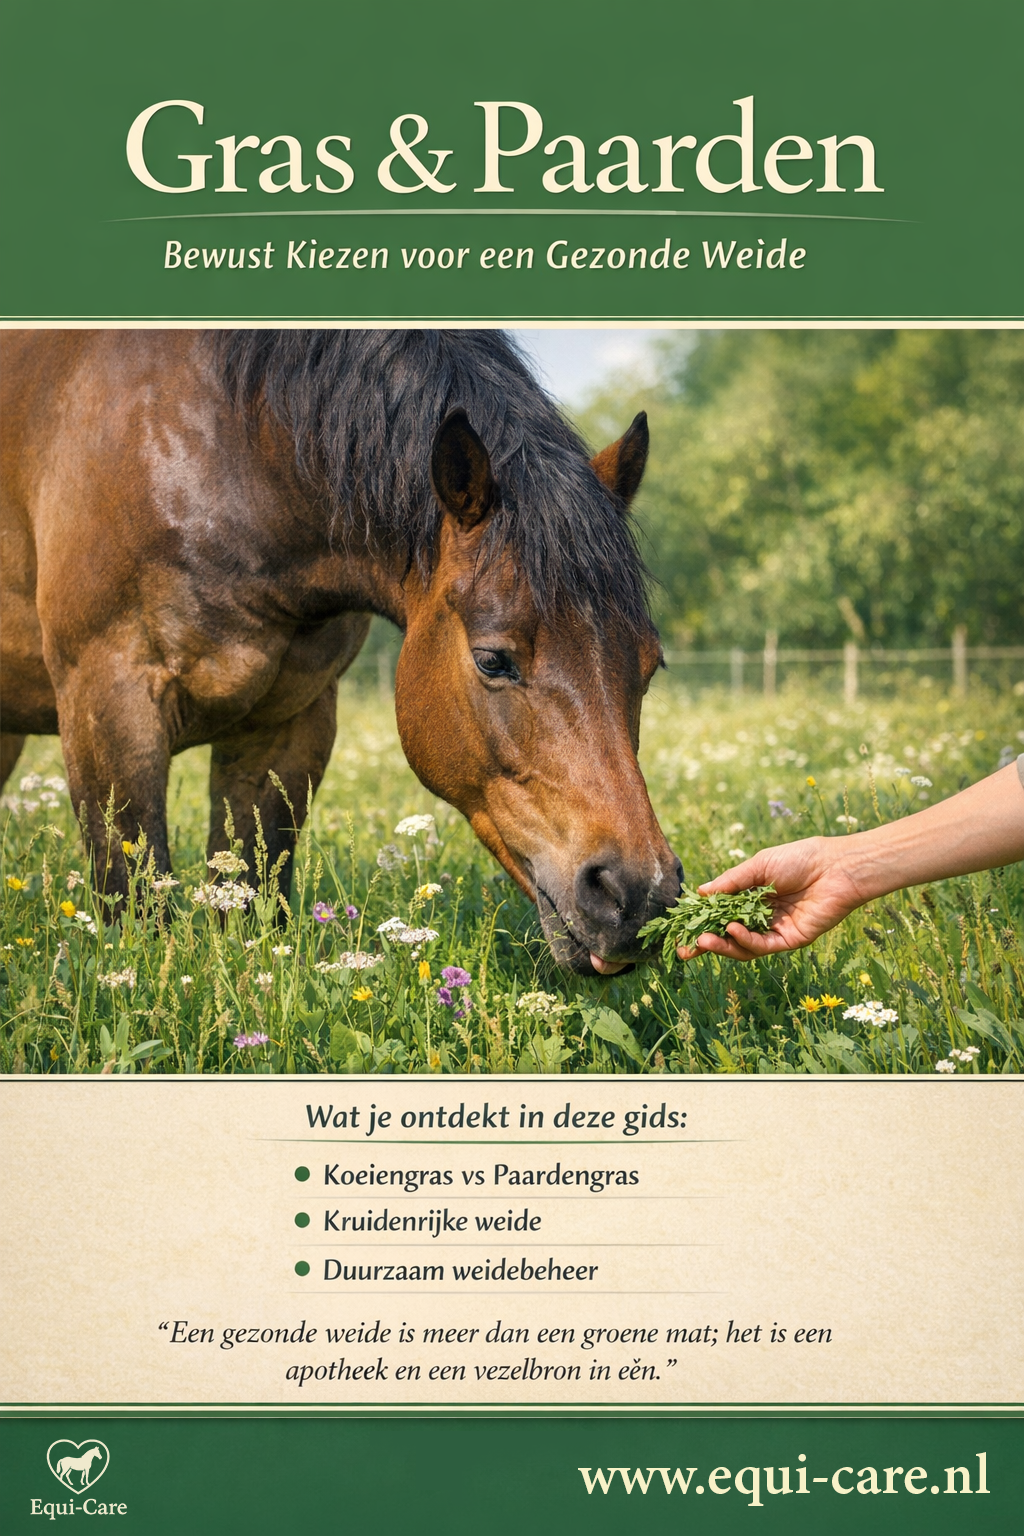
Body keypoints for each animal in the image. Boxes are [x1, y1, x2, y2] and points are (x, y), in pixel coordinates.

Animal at [0, 329, 681, 975]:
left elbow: (250, 898)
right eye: (493, 659)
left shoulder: (288, 724)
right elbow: (139, 904)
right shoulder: (109, 706)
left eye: (650, 666)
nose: (638, 896)